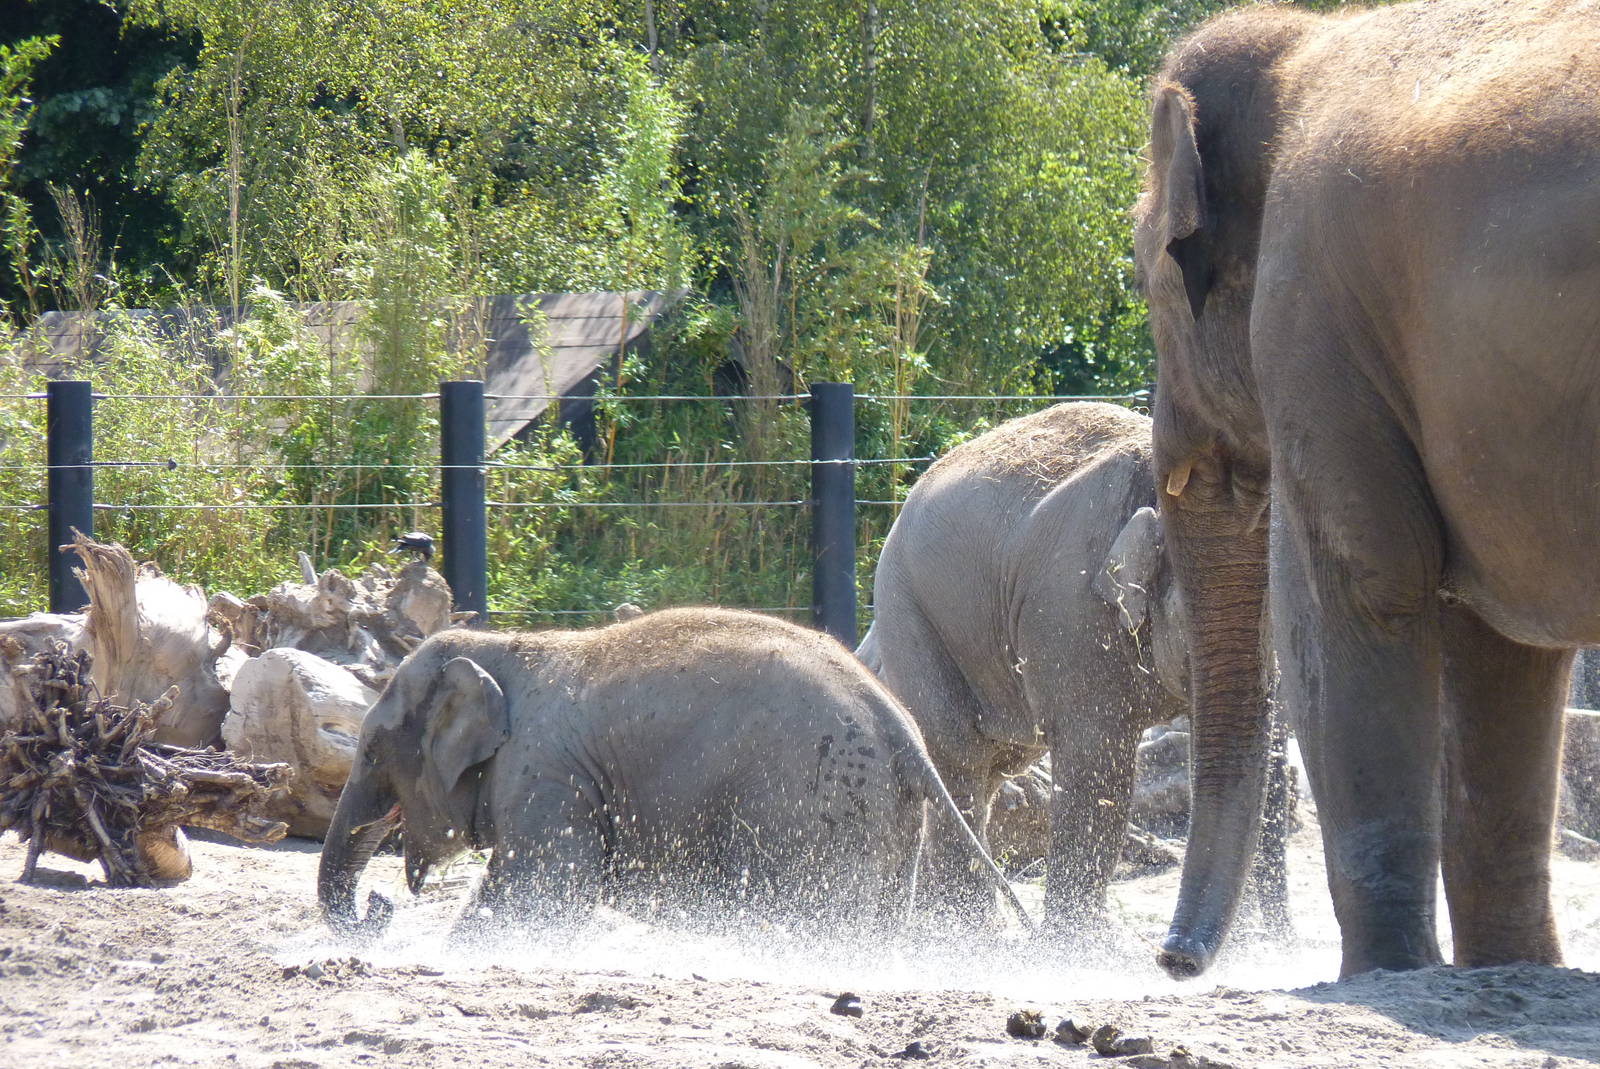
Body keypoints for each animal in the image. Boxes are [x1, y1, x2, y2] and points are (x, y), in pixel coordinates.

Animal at [318, 607, 1029, 942]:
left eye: (373, 751)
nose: (378, 906)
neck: (508, 645)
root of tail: (901, 725)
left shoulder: (545, 775)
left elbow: (539, 895)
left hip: (814, 803)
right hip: (882, 811)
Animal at [859, 402, 1290, 937]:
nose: (1278, 944)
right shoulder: (1069, 608)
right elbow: (1094, 761)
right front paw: (1079, 948)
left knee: (993, 766)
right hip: (910, 611)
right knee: (958, 757)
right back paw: (975, 937)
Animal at [1134, 0, 1600, 979]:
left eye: (1146, 274)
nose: (1172, 960)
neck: (1303, 40)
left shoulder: (1313, 318)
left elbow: (1354, 589)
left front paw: (1386, 973)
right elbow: (1499, 648)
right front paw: (1512, 971)